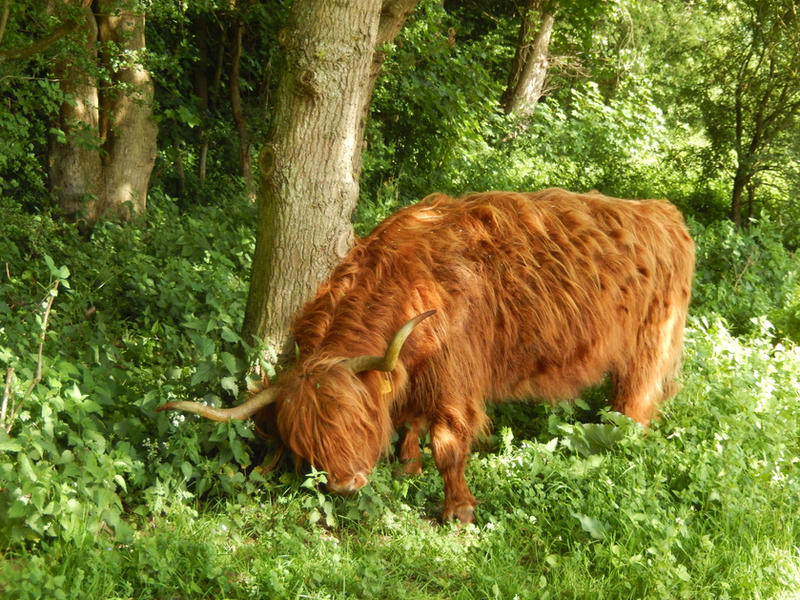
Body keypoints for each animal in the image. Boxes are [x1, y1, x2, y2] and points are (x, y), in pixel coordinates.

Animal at [156, 188, 692, 520]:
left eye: (355, 422)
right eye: (305, 441)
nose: (347, 484)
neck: (408, 286)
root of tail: (664, 214)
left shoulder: (454, 378)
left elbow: (449, 444)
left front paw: (459, 509)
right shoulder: (410, 372)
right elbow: (410, 420)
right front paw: (407, 466)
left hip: (653, 339)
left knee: (638, 399)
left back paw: (622, 448)